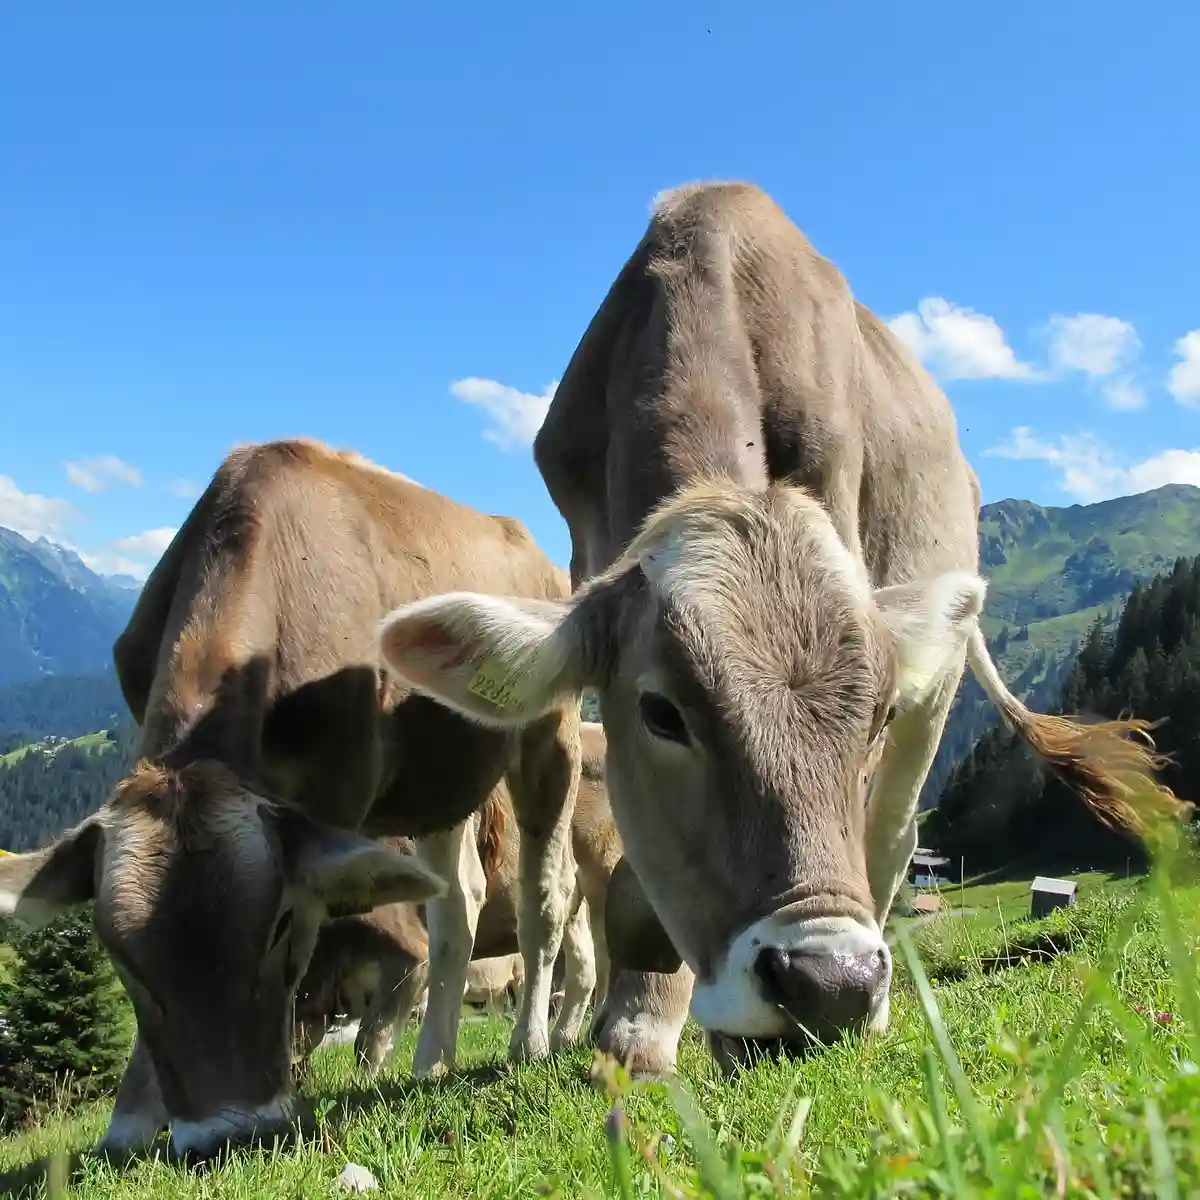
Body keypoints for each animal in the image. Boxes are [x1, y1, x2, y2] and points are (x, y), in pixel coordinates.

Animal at [0, 436, 583, 1156]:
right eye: (118, 954)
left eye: (278, 923)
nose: (227, 1132)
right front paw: (132, 1119)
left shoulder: (338, 790)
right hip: (442, 778)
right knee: (458, 903)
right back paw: (432, 1059)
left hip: (550, 735)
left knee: (545, 892)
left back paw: (529, 1043)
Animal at [376, 180, 1190, 1080]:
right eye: (661, 713)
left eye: (874, 713)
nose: (831, 984)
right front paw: (638, 1024)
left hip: (937, 688)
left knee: (894, 833)